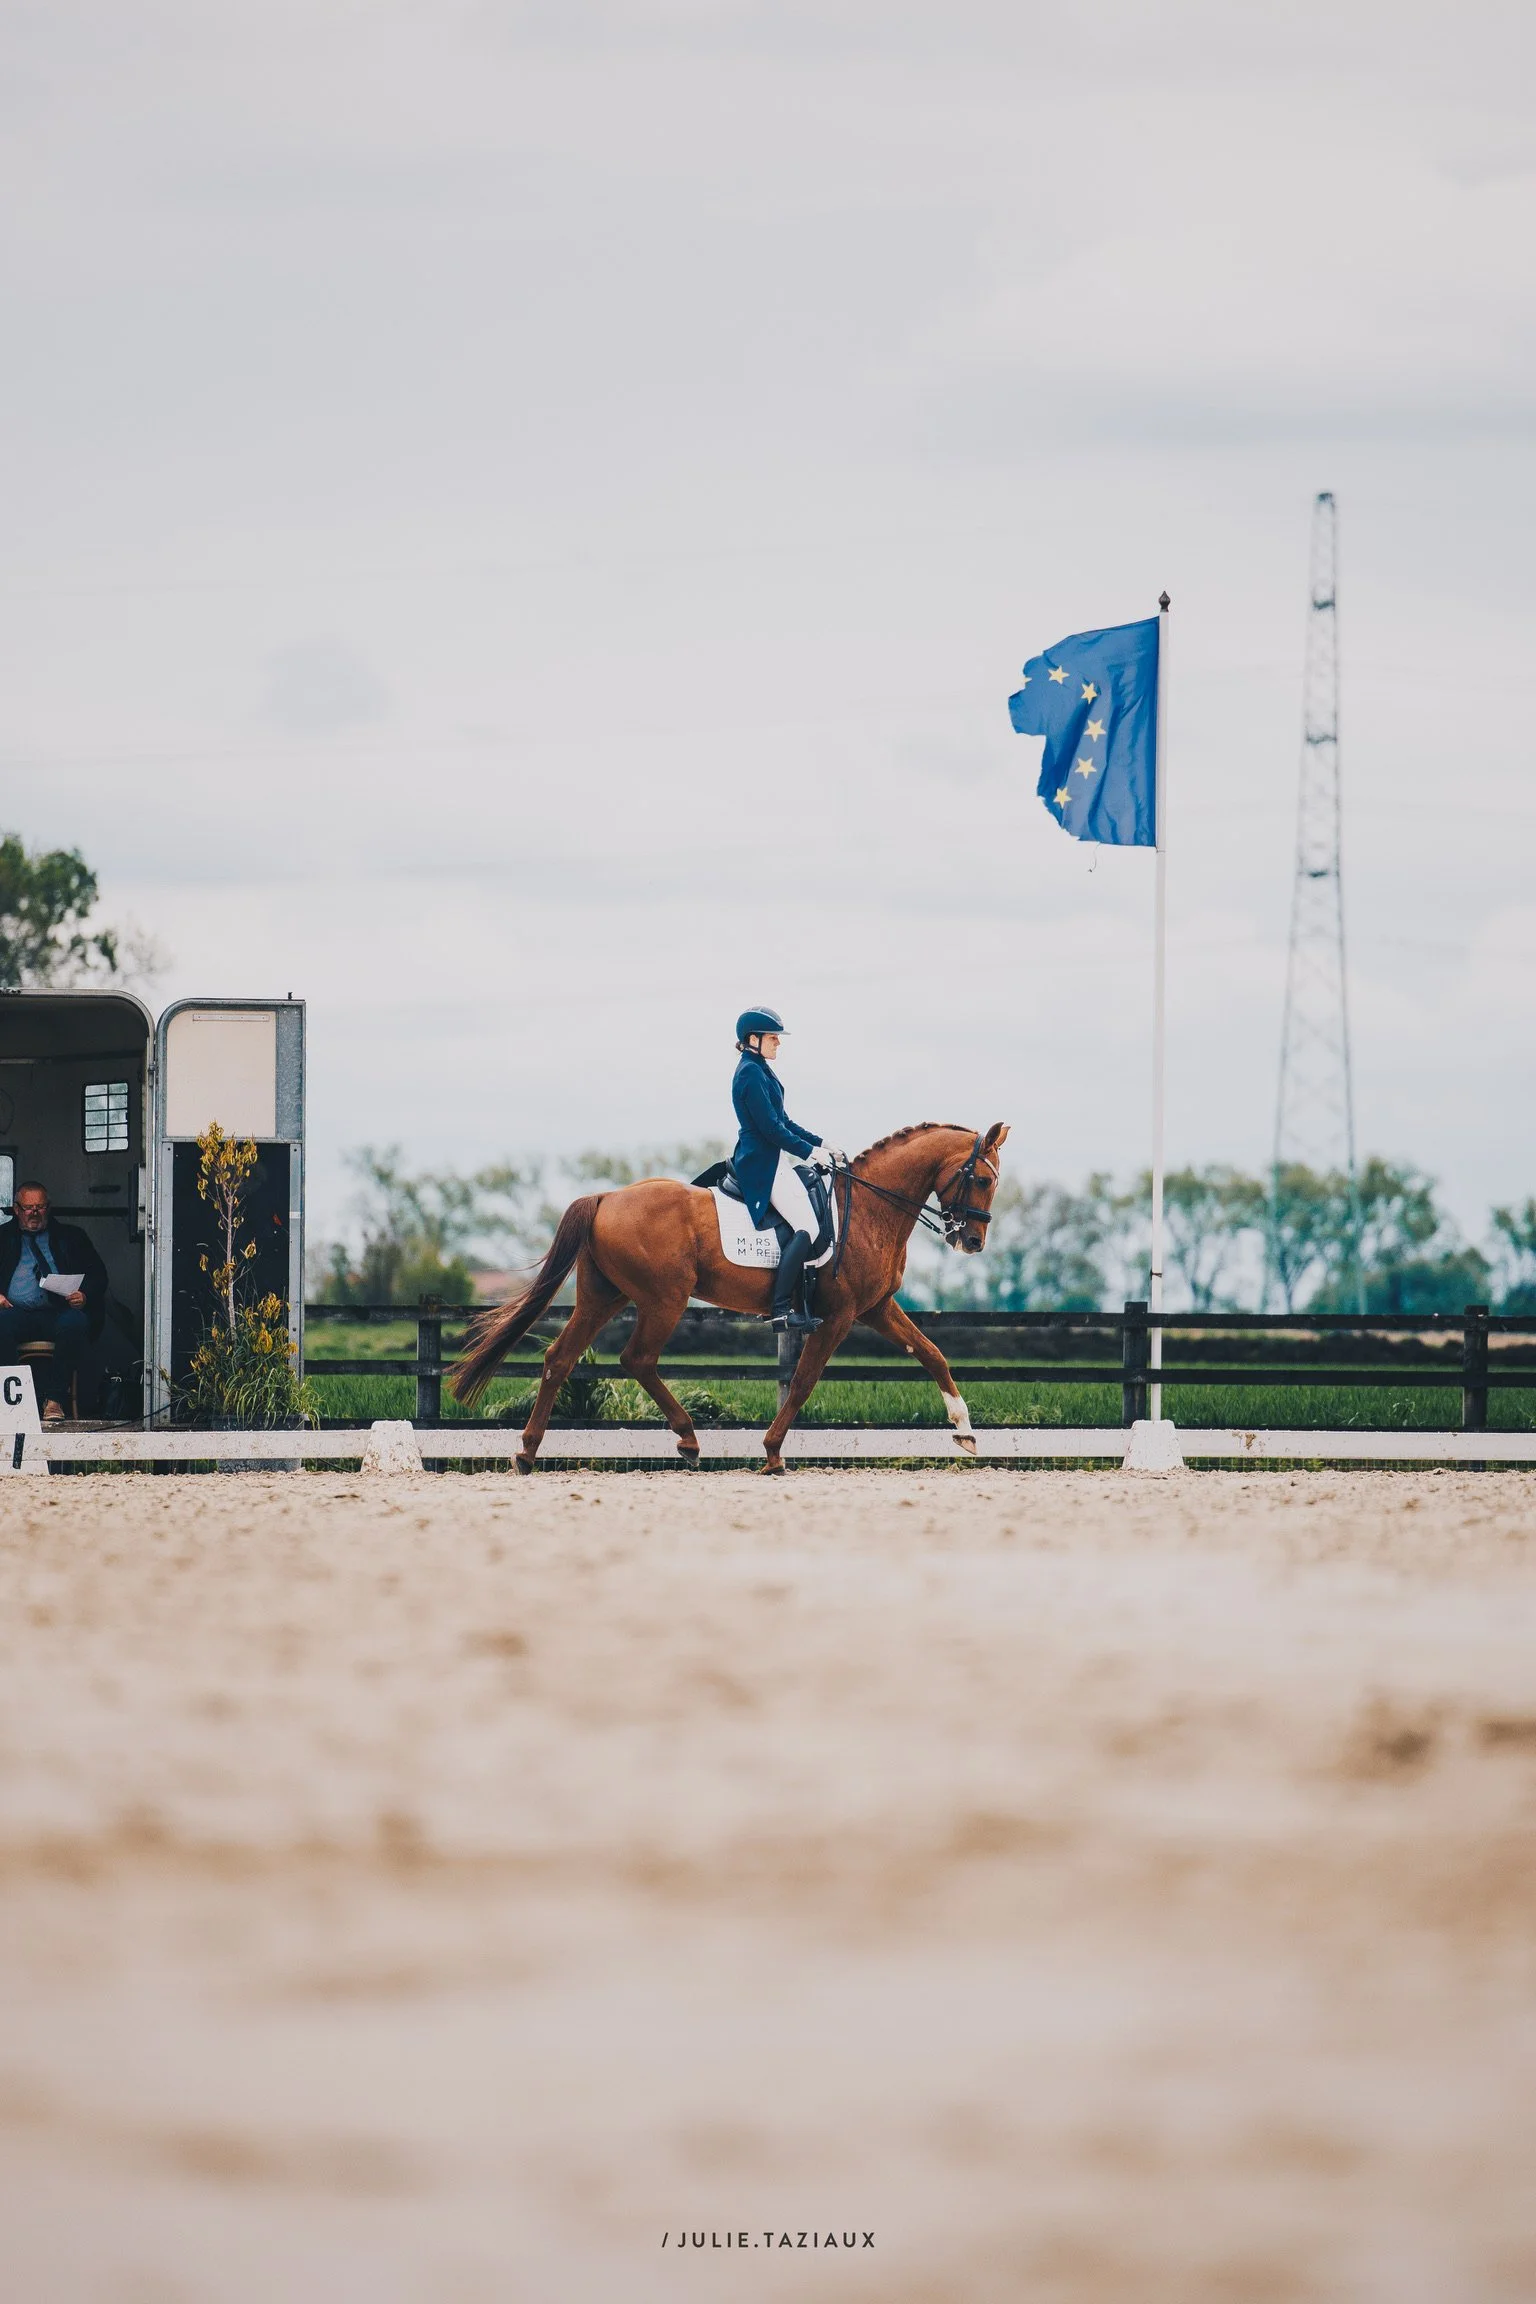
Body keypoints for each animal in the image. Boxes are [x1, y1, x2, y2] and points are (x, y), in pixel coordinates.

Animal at [448, 1121, 1009, 1475]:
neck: (871, 1206)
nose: (972, 1241)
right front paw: (774, 1454)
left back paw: (527, 1453)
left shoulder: (875, 1308)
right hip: (664, 1299)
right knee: (638, 1359)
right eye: (982, 1179)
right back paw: (688, 1438)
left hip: (602, 1297)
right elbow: (802, 1381)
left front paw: (964, 1432)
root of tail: (606, 1197)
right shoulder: (840, 1316)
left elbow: (933, 1354)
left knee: (560, 1359)